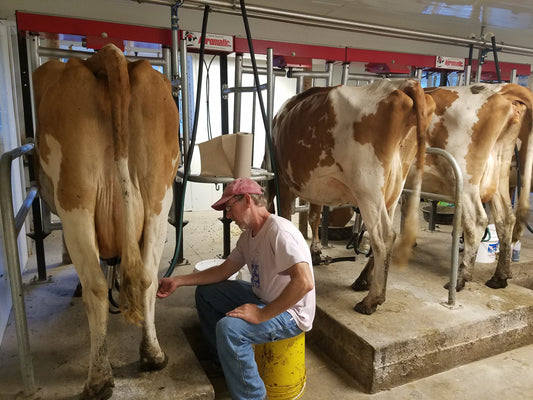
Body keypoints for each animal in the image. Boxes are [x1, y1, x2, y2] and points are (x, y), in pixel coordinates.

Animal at [32, 44, 180, 400]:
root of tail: (107, 56)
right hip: (158, 197)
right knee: (147, 277)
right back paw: (153, 355)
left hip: (75, 201)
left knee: (96, 288)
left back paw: (98, 380)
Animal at [272, 79, 434, 314]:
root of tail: (405, 83)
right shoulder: (314, 188)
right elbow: (314, 216)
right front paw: (316, 252)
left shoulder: (283, 182)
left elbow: (285, 217)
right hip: (394, 187)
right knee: (384, 235)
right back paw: (363, 280)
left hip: (367, 187)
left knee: (384, 236)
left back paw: (372, 300)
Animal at [404, 83, 532, 290]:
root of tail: (499, 93)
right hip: (499, 175)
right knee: (506, 219)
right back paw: (499, 277)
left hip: (466, 178)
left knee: (477, 221)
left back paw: (460, 278)